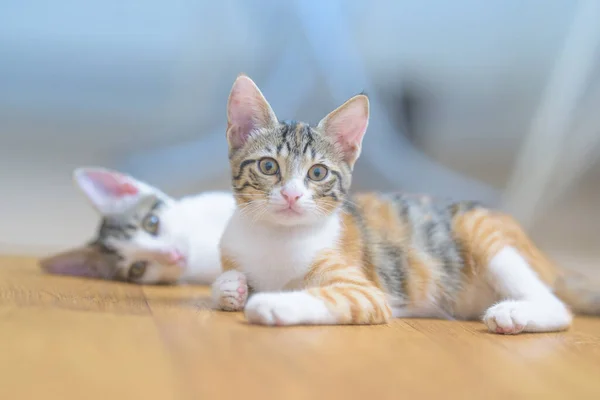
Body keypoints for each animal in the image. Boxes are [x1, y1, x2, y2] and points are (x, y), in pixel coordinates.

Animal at [210, 75, 596, 334]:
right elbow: (224, 280)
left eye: (317, 173)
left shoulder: (366, 293)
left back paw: (514, 314)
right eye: (268, 167)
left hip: (484, 235)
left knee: (558, 307)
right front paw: (231, 287)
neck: (277, 238)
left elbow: (325, 297)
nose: (292, 195)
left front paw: (271, 302)